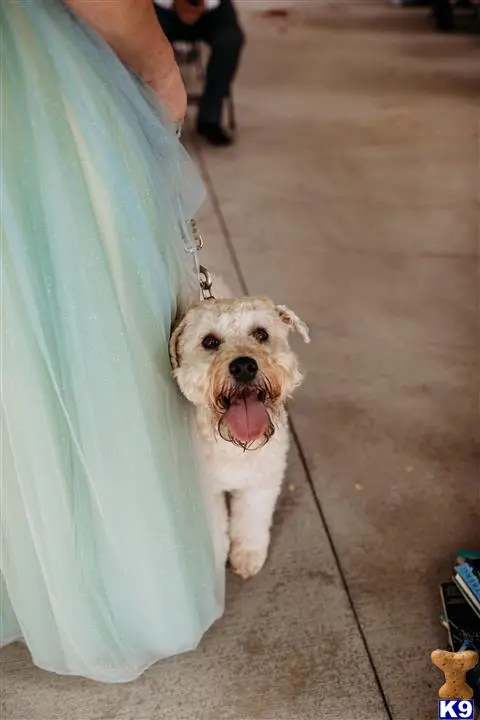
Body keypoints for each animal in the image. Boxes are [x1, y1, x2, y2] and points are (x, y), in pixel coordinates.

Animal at [171, 286, 310, 580]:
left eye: (261, 334)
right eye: (210, 341)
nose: (244, 366)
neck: (234, 446)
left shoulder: (260, 483)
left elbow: (250, 521)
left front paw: (247, 555)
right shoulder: (207, 492)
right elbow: (216, 531)